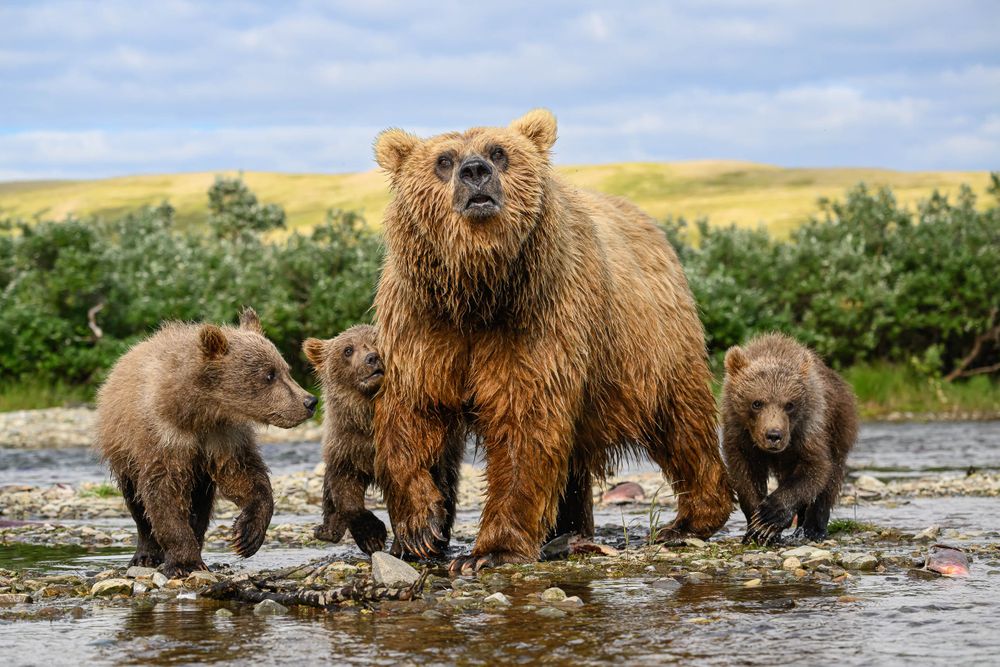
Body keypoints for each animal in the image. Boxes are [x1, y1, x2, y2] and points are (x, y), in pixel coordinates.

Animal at [372, 108, 732, 568]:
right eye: (444, 160)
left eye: (499, 152)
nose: (476, 172)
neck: (478, 291)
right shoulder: (423, 324)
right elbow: (412, 415)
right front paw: (419, 530)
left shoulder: (537, 318)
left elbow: (526, 422)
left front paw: (490, 551)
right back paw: (569, 529)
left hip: (652, 345)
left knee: (682, 424)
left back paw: (688, 521)